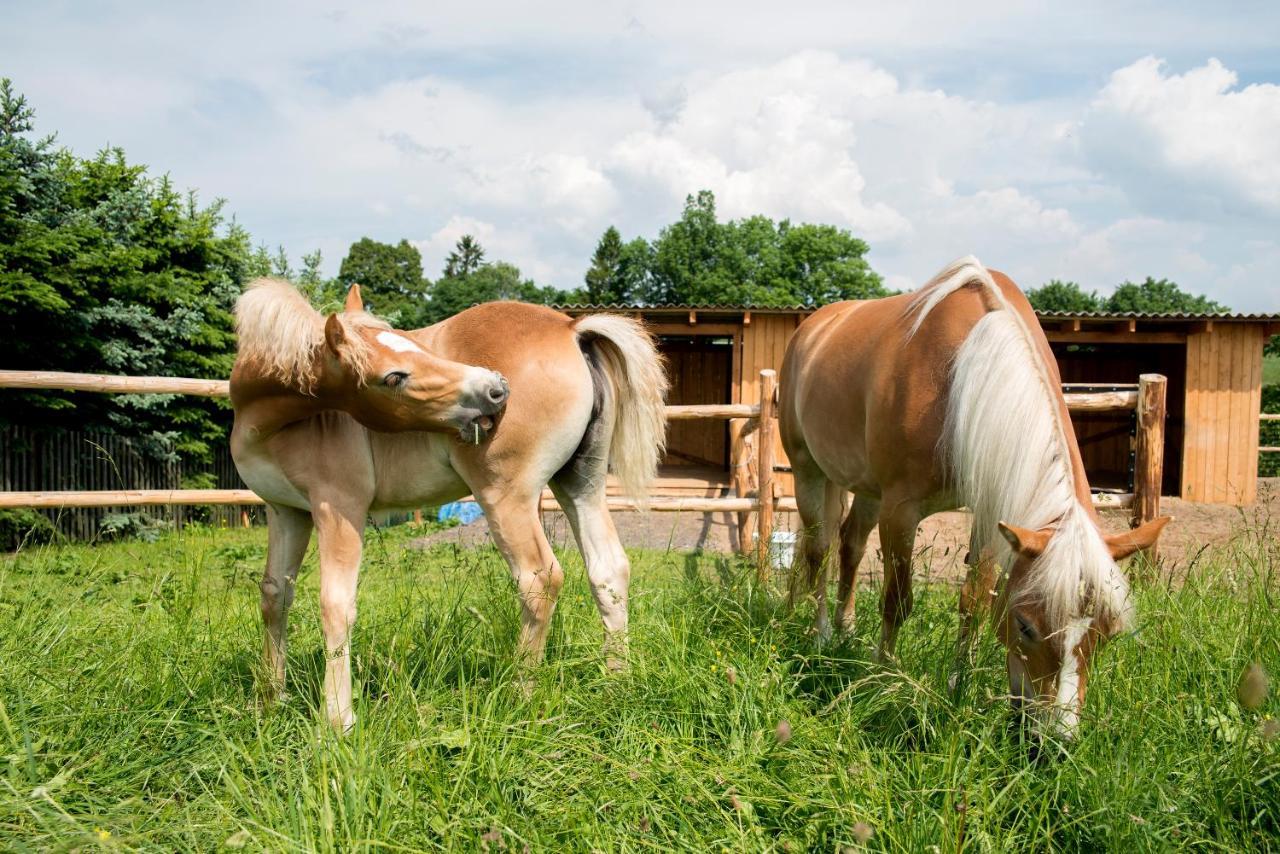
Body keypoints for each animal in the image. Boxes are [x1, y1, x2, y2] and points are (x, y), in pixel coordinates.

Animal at [232, 279, 670, 727]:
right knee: (608, 570)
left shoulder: (337, 508)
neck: (267, 420)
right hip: (581, 485)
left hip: (506, 498)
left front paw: (338, 720)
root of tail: (571, 329)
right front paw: (271, 700)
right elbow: (274, 596)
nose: (495, 388)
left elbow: (336, 605)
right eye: (393, 376)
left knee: (539, 579)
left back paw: (519, 695)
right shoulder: (285, 511)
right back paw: (616, 681)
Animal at [778, 257, 1172, 737]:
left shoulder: (990, 513)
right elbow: (897, 601)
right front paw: (884, 677)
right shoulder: (901, 510)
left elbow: (974, 603)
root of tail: (812, 328)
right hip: (808, 470)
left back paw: (846, 631)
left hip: (865, 486)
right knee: (818, 550)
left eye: (1108, 632)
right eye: (1025, 626)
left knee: (850, 545)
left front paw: (958, 685)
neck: (962, 376)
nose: (1052, 741)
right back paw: (820, 637)